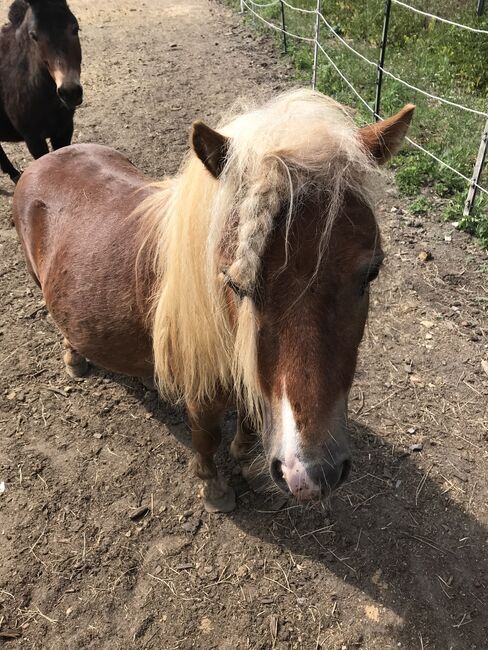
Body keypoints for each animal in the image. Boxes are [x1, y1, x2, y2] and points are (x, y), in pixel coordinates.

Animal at [13, 88, 414, 508]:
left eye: (371, 272)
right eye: (235, 284)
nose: (312, 475)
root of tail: (45, 160)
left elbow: (251, 418)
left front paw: (247, 462)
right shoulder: (202, 391)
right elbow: (206, 436)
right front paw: (213, 487)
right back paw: (75, 358)